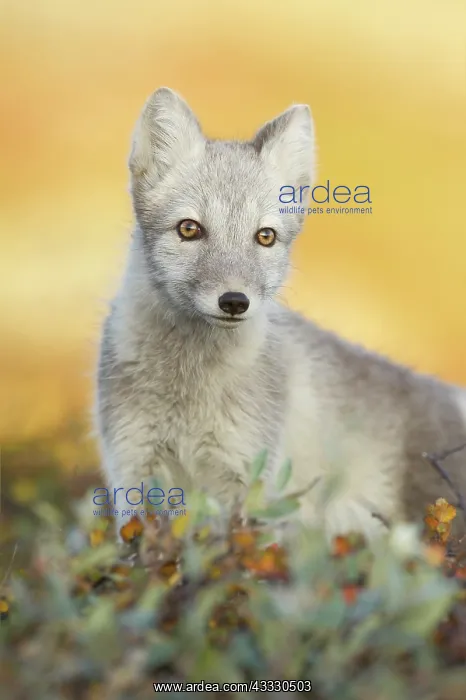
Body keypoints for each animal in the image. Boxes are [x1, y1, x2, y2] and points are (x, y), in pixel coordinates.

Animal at [94, 86, 466, 541]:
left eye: (265, 237)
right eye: (189, 229)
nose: (234, 301)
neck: (188, 388)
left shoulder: (246, 474)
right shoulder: (134, 472)